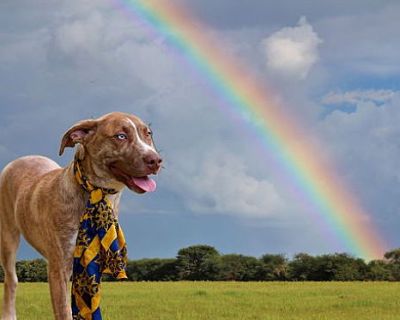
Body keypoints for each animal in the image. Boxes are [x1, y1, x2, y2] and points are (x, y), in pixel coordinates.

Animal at [0, 111, 162, 318]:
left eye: (148, 134)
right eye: (120, 136)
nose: (156, 160)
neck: (96, 194)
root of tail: (22, 158)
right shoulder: (59, 268)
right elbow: (64, 311)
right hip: (8, 237)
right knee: (11, 280)